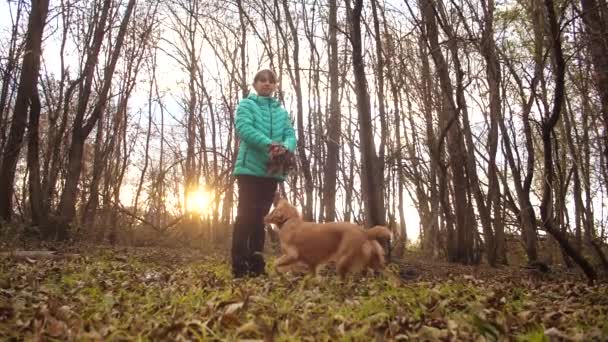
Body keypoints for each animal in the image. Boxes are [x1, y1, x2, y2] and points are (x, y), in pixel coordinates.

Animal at [264, 199, 392, 276]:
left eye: (272, 211)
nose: (264, 217)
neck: (289, 220)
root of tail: (364, 231)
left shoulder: (292, 255)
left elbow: (275, 263)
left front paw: (277, 273)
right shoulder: (312, 264)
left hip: (343, 260)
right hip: (374, 261)